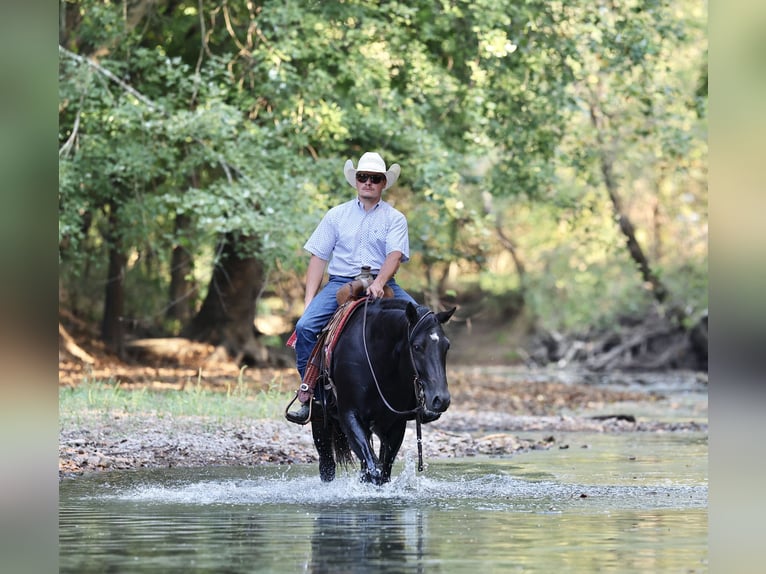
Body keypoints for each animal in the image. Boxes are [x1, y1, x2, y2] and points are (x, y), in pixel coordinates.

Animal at [310, 298, 456, 485]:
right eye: (416, 346)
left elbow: (383, 470)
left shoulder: (395, 424)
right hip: (320, 420)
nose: (441, 399)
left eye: (447, 346)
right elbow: (373, 469)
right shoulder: (350, 416)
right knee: (327, 465)